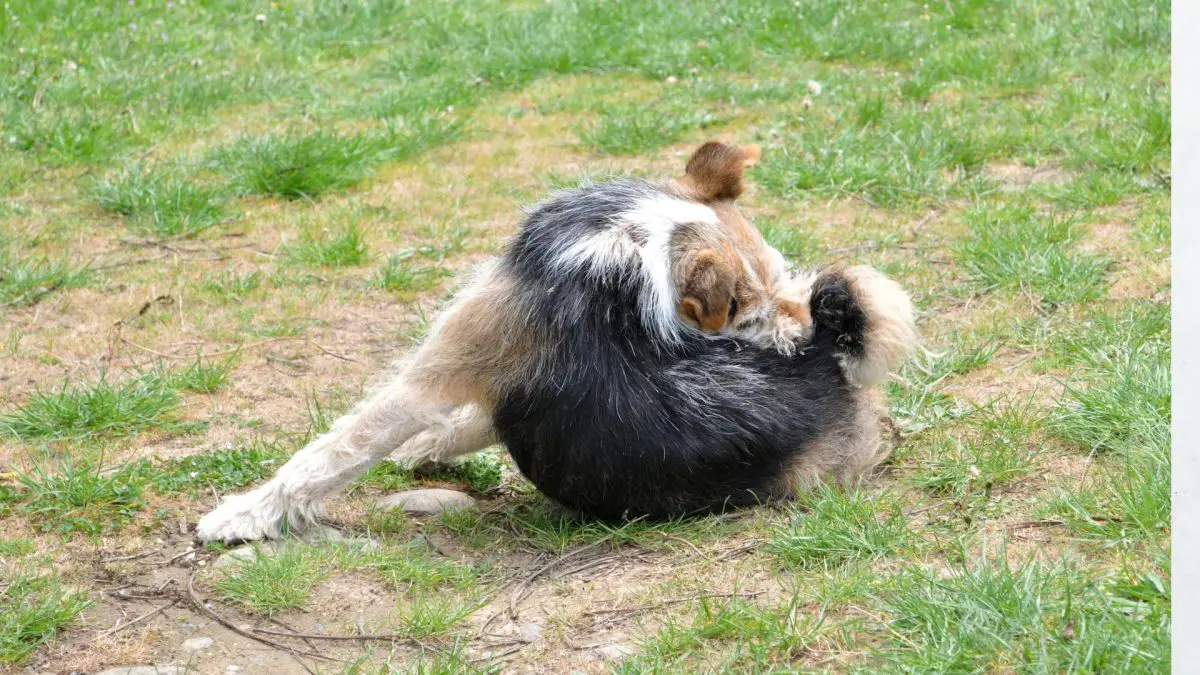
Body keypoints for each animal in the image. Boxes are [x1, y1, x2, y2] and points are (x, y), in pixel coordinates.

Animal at [196, 138, 912, 540]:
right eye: (752, 312)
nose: (800, 333)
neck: (635, 240)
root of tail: (828, 360)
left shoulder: (445, 363)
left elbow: (330, 453)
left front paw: (241, 517)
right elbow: (466, 424)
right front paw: (428, 449)